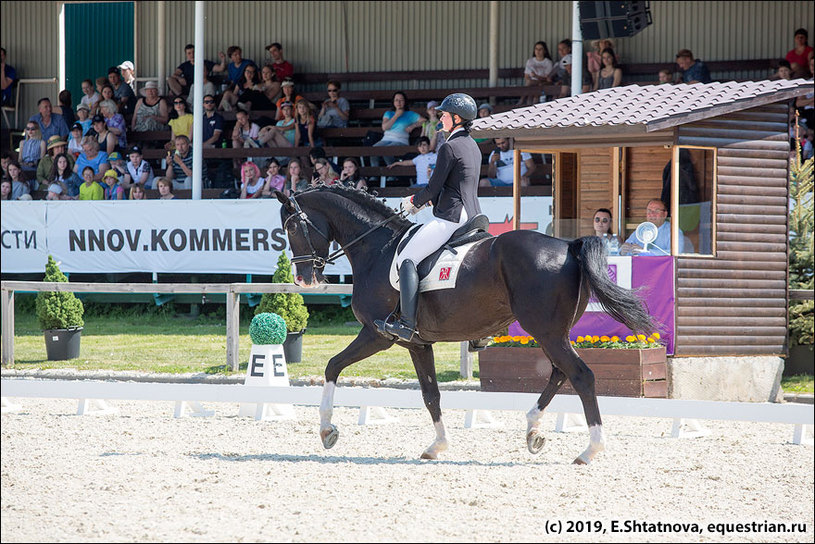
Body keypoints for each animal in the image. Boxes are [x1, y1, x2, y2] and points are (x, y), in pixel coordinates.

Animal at [278, 187, 652, 464]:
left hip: (546, 332)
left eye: (292, 227)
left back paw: (590, 450)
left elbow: (332, 366)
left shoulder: (377, 334)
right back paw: (533, 430)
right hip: (555, 332)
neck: (377, 248)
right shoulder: (417, 343)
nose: (304, 279)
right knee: (560, 373)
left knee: (581, 376)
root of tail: (568, 245)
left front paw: (327, 430)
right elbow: (430, 394)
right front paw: (437, 446)